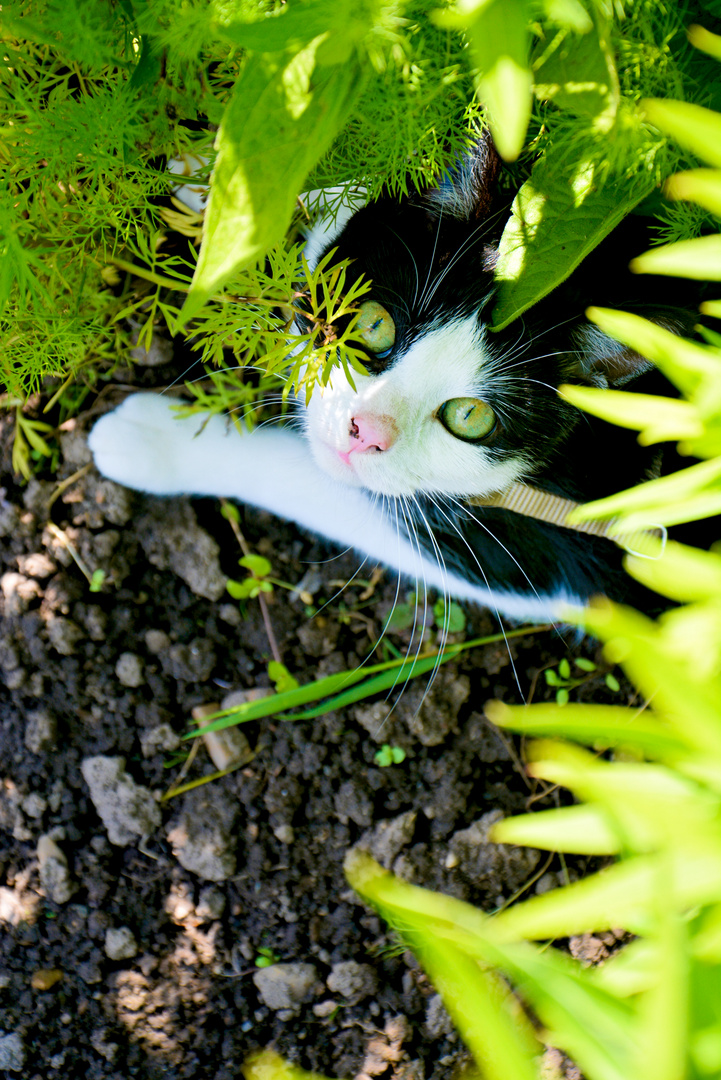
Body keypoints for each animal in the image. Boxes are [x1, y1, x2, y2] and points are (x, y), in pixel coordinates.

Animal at [87, 137, 708, 626]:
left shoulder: (543, 556)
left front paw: (151, 443)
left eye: (470, 416)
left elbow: (312, 481)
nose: (364, 431)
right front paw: (229, 184)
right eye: (374, 324)